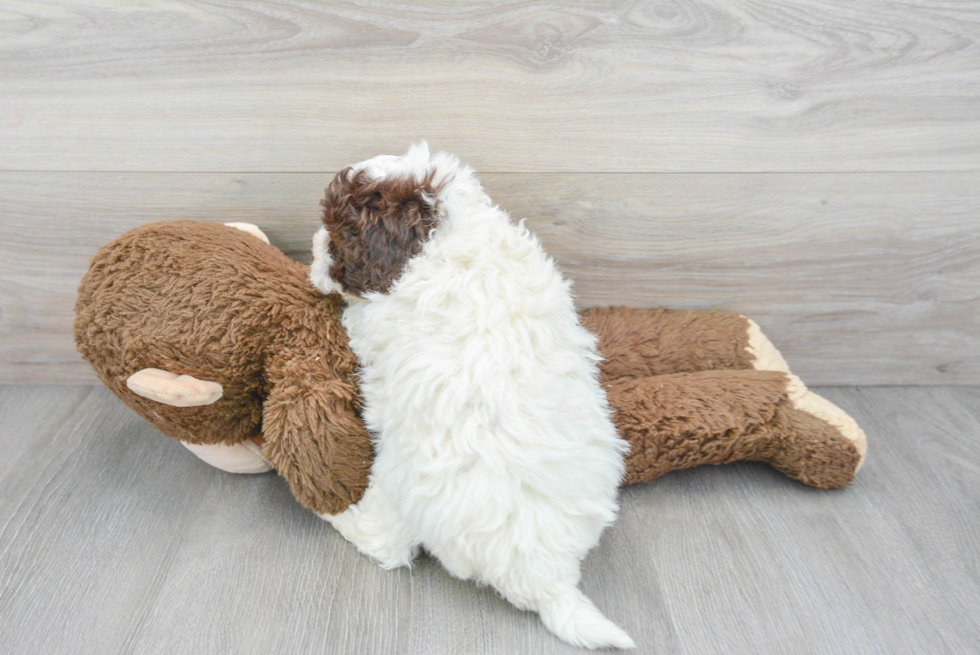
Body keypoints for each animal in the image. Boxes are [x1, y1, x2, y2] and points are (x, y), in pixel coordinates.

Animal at [312, 144, 636, 652]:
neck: (442, 236)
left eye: (336, 232)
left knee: (391, 546)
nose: (310, 247)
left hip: (401, 484)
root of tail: (548, 578)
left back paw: (340, 518)